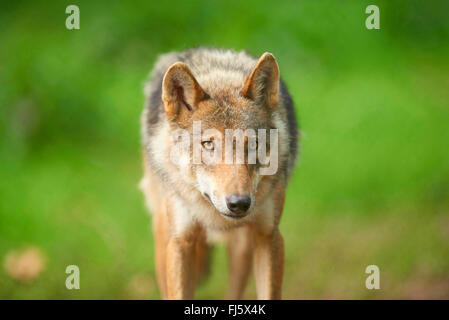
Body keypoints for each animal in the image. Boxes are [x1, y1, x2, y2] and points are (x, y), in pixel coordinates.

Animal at [141, 47, 298, 300]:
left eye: (253, 144)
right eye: (208, 144)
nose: (239, 203)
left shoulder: (269, 237)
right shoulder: (181, 241)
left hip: (242, 248)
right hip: (163, 239)